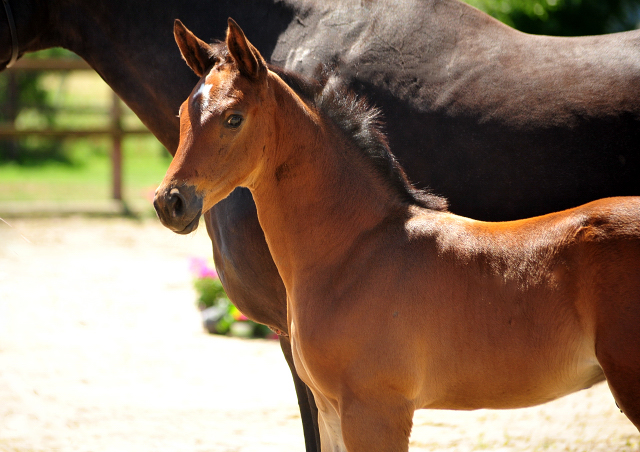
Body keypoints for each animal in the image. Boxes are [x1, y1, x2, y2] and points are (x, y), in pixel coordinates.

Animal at [156, 18, 640, 452]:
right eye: (182, 114)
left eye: (233, 118)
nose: (169, 202)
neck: (355, 250)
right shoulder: (331, 411)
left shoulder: (375, 411)